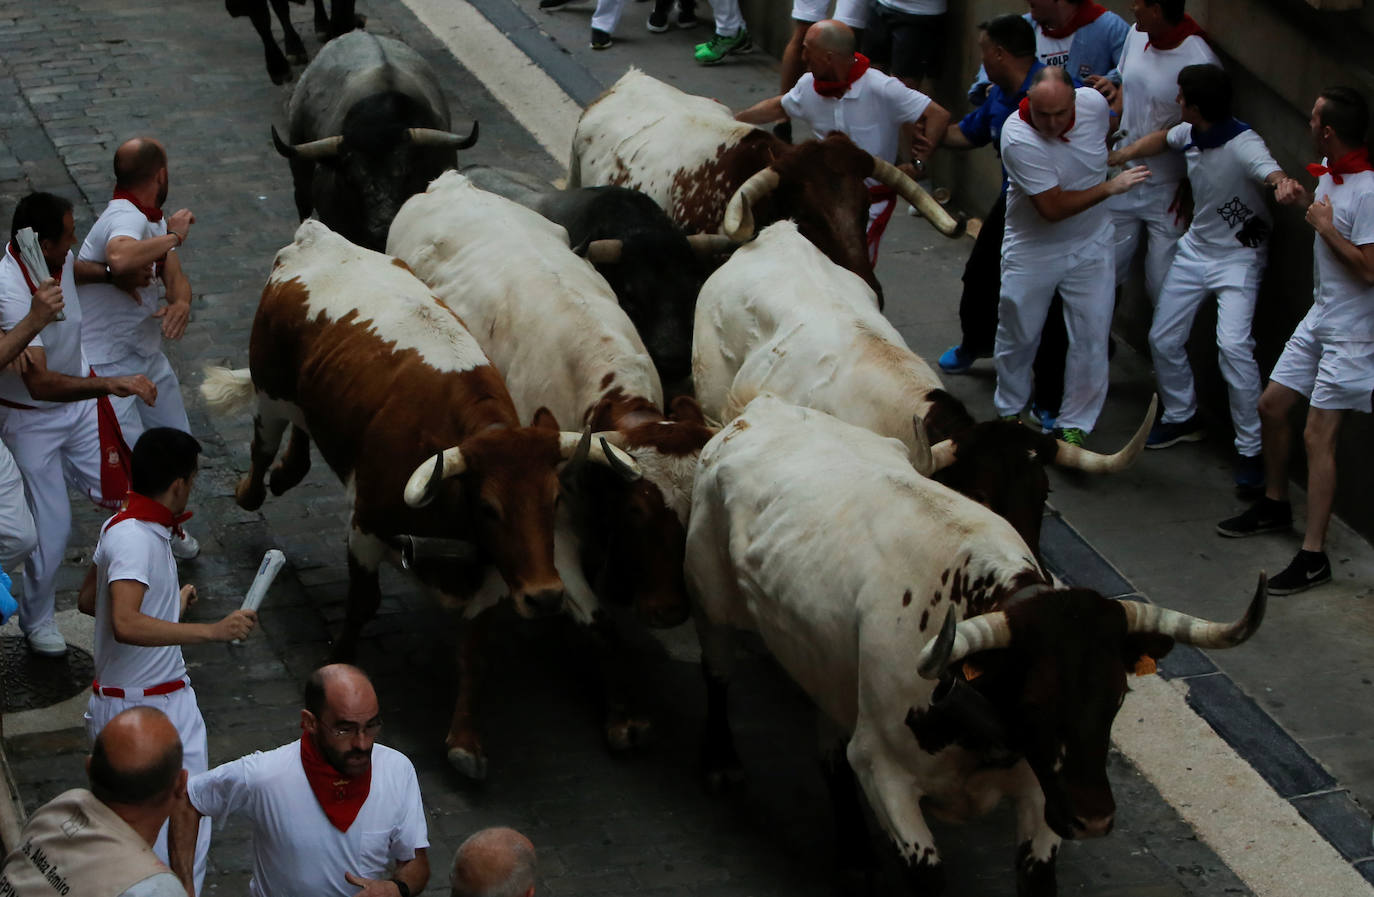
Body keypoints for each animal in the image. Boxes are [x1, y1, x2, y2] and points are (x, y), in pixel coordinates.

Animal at [200, 219, 637, 774]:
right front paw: (338, 662)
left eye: (555, 500)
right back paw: (254, 489)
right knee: (262, 443)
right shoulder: (366, 527)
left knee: (302, 428)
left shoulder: (496, 572)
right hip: (270, 389)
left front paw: (465, 740)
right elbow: (363, 604)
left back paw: (286, 473)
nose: (545, 597)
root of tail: (318, 236)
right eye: (489, 508)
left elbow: (475, 652)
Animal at [687, 398, 1264, 895]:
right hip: (710, 597)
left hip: (824, 660)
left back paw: (854, 855)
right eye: (1034, 700)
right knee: (717, 673)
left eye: (1118, 697)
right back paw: (720, 762)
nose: (1093, 818)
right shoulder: (884, 772)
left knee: (827, 741)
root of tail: (762, 409)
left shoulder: (1040, 788)